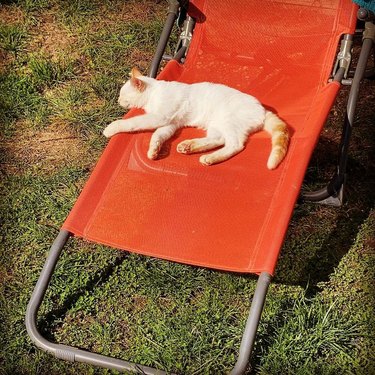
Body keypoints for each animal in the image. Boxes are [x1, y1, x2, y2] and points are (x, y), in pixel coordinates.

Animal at [104, 67, 290, 169]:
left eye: (122, 95)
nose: (118, 101)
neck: (154, 93)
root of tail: (263, 110)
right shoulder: (170, 123)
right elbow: (158, 135)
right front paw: (154, 150)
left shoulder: (159, 117)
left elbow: (131, 123)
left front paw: (111, 128)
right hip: (215, 125)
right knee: (219, 139)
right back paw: (189, 146)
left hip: (227, 121)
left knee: (235, 145)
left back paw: (210, 157)